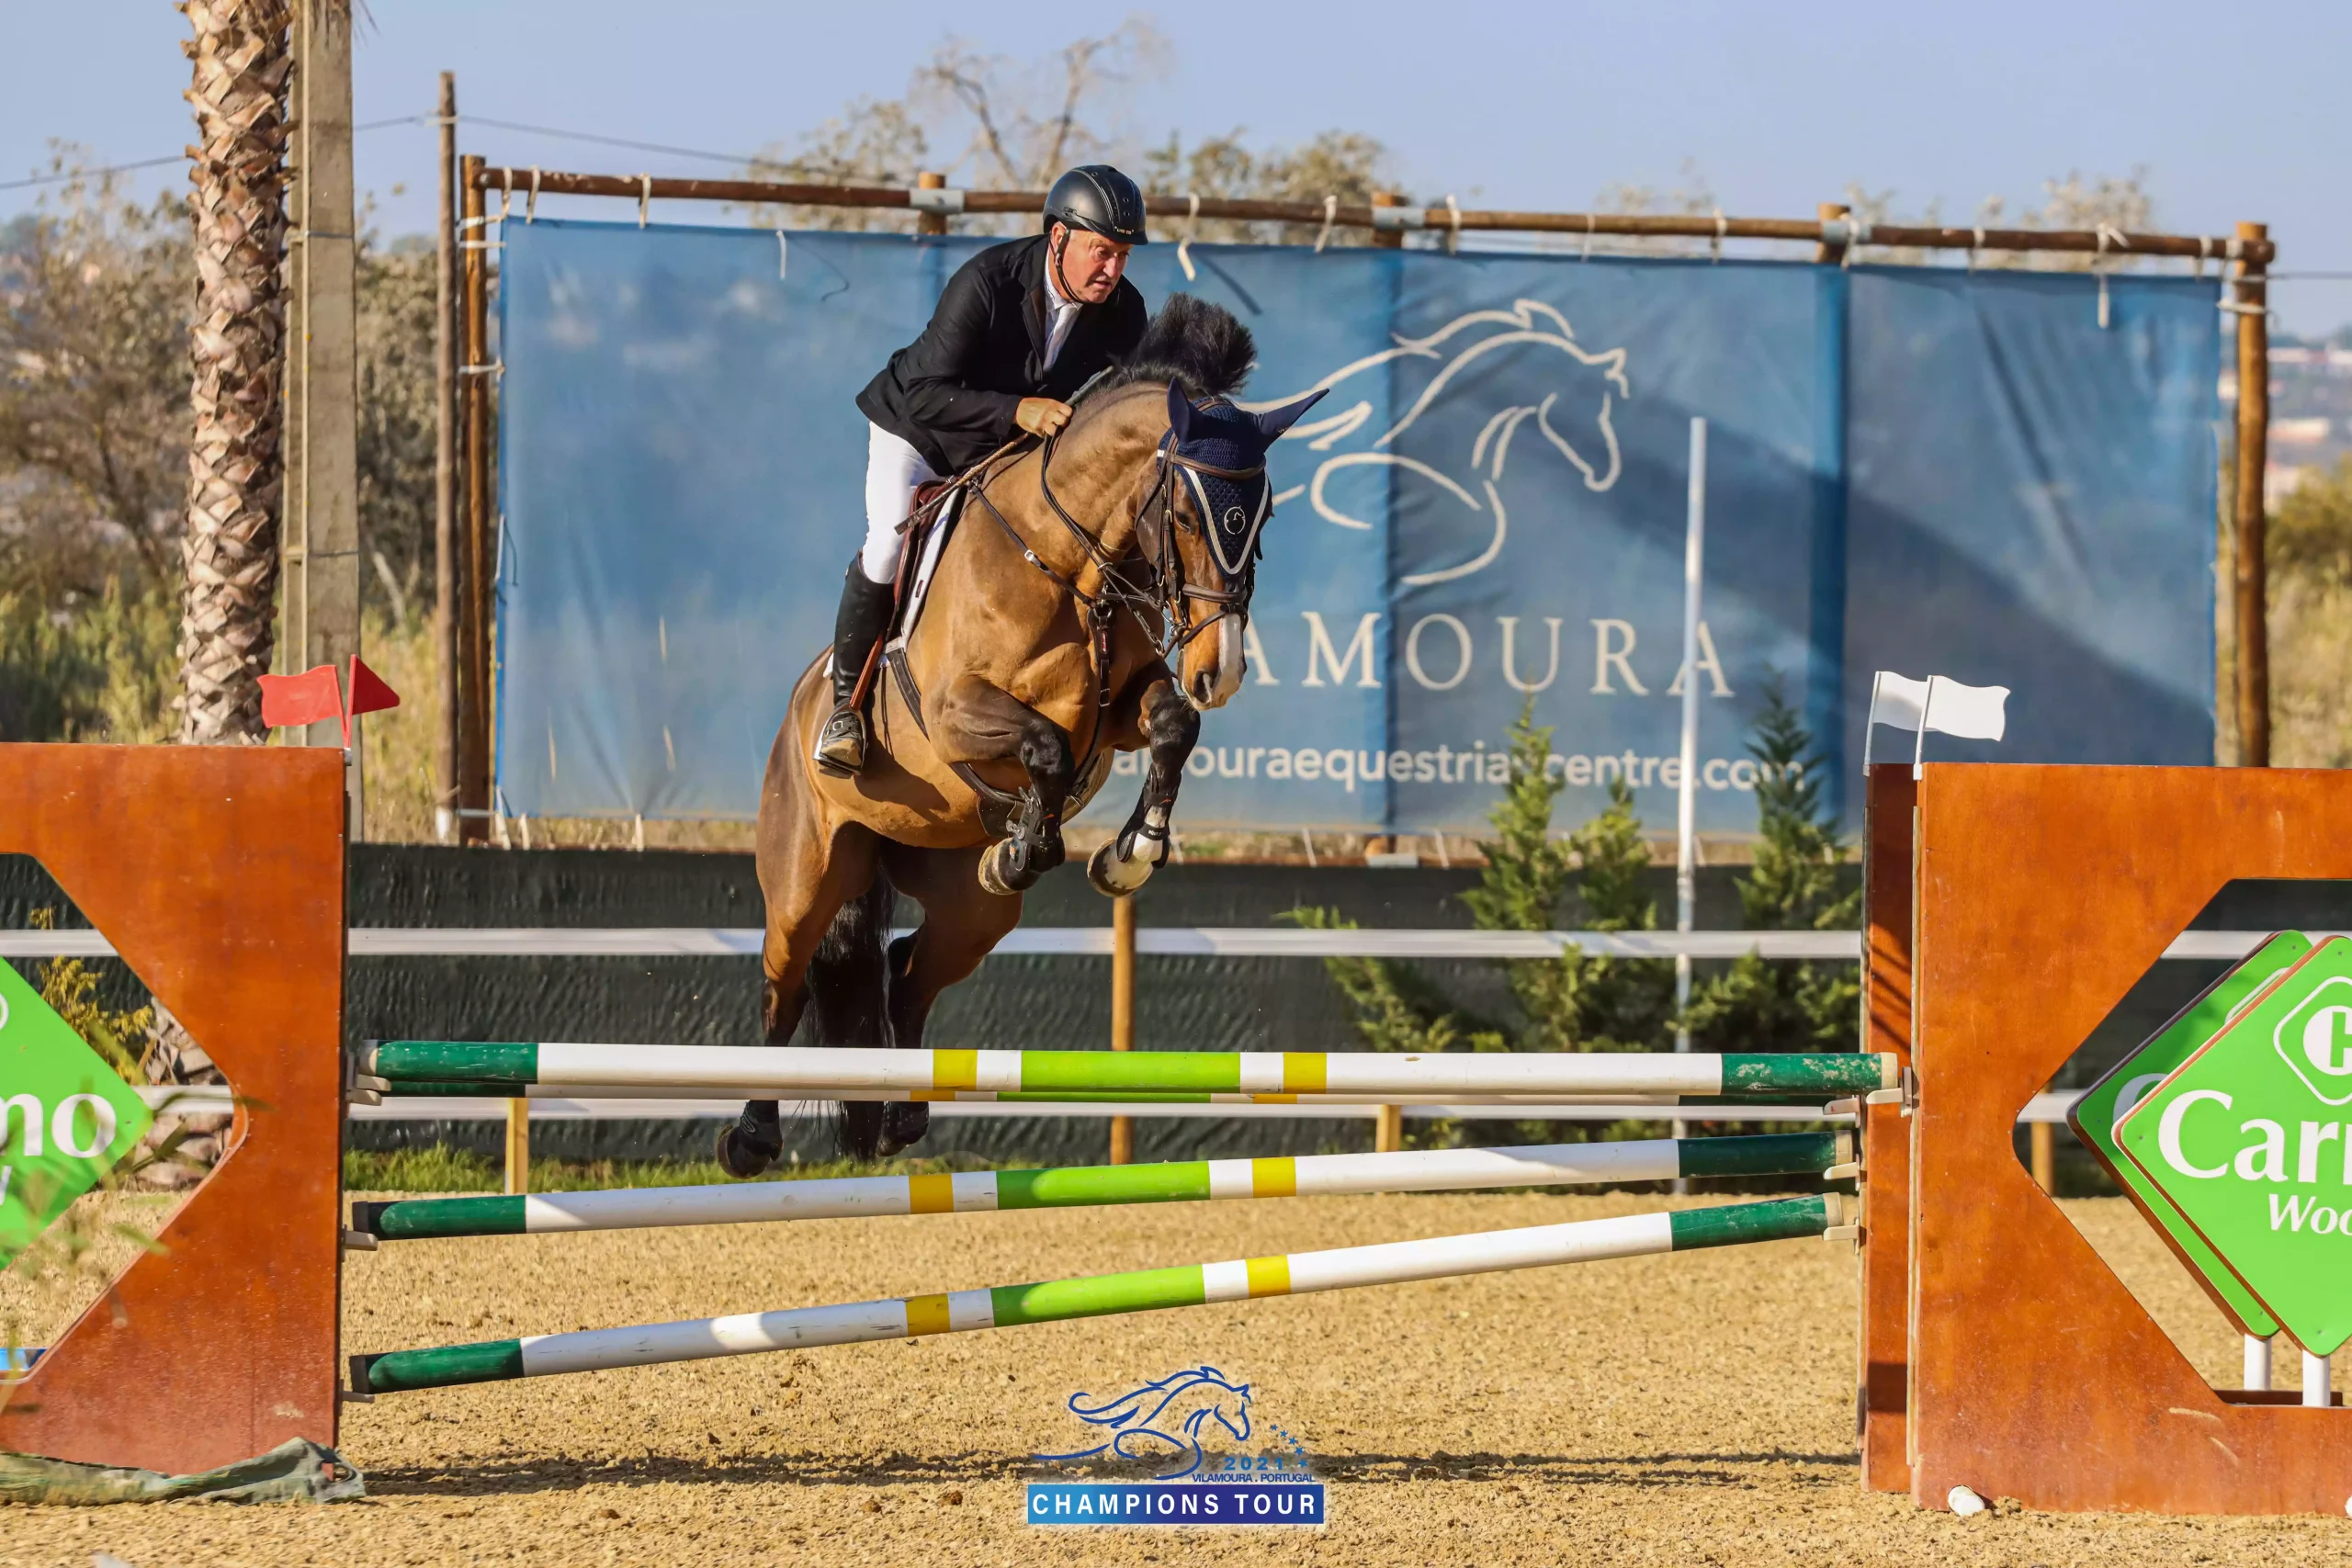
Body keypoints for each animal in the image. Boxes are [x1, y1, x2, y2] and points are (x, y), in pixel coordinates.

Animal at [719, 296, 1323, 1174]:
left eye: (1265, 513)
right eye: (1183, 514)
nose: (1224, 668)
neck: (1065, 560)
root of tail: (794, 712)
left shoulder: (1121, 707)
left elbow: (1173, 725)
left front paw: (1127, 853)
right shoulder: (954, 713)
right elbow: (1045, 746)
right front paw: (1031, 843)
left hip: (969, 912)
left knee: (906, 971)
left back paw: (901, 1117)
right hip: (807, 871)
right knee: (786, 982)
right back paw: (752, 1137)